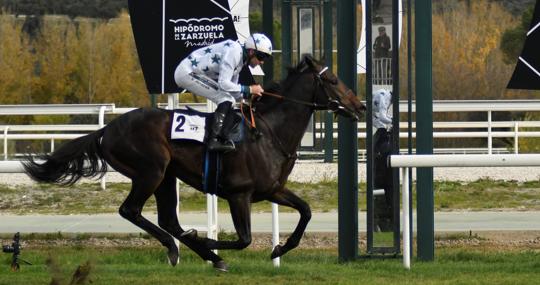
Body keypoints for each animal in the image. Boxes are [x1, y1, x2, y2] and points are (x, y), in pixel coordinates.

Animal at [23, 55, 364, 268]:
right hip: (150, 171)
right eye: (333, 79)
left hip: (166, 176)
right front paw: (207, 242)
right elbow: (243, 240)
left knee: (167, 219)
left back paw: (190, 248)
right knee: (131, 210)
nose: (359, 105)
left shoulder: (272, 190)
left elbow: (306, 211)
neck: (269, 132)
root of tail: (108, 129)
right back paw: (182, 247)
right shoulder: (239, 194)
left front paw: (280, 247)